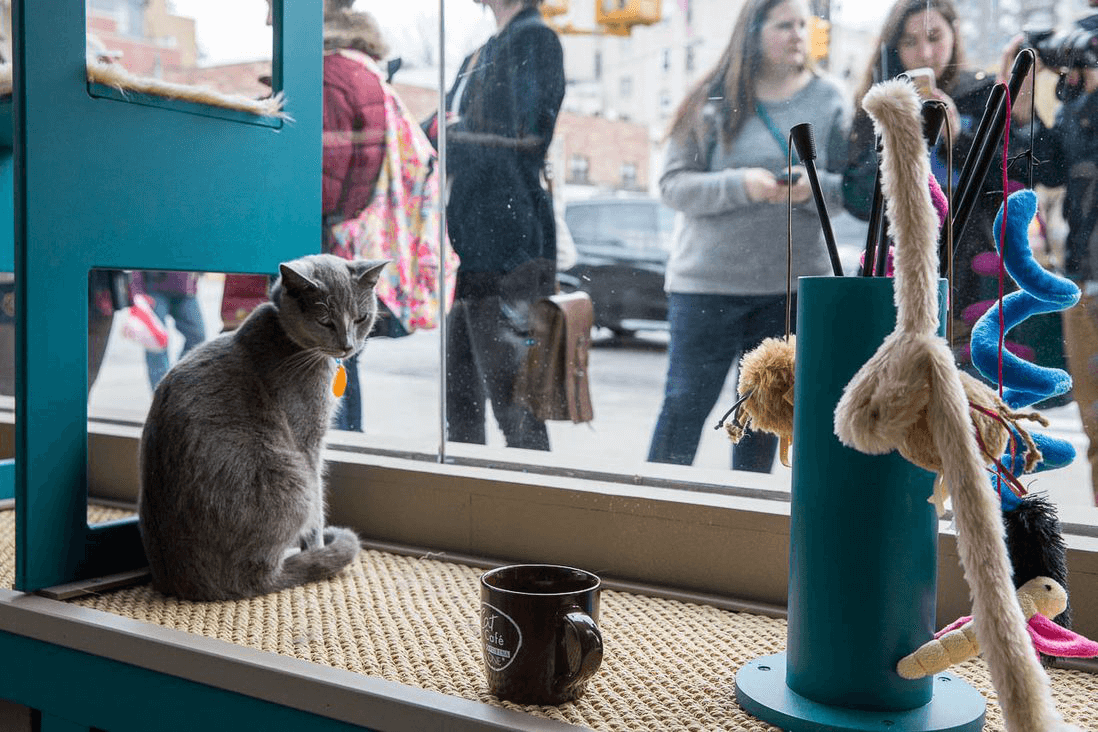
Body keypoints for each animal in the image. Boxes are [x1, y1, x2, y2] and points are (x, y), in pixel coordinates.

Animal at [137, 253, 388, 601]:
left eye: (361, 317)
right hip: (291, 476)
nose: (348, 346)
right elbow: (318, 505)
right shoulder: (309, 441)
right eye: (325, 321)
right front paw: (317, 547)